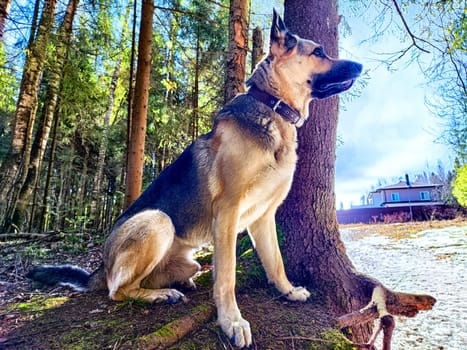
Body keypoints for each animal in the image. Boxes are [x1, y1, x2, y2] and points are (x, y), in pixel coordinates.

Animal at [27, 10, 364, 348]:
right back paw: (161, 295)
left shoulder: (263, 217)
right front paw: (231, 322)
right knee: (116, 290)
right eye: (319, 52)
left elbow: (276, 261)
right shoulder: (228, 213)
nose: (360, 66)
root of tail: (101, 265)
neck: (272, 107)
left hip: (189, 259)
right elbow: (227, 276)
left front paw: (288, 290)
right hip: (157, 221)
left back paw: (177, 283)